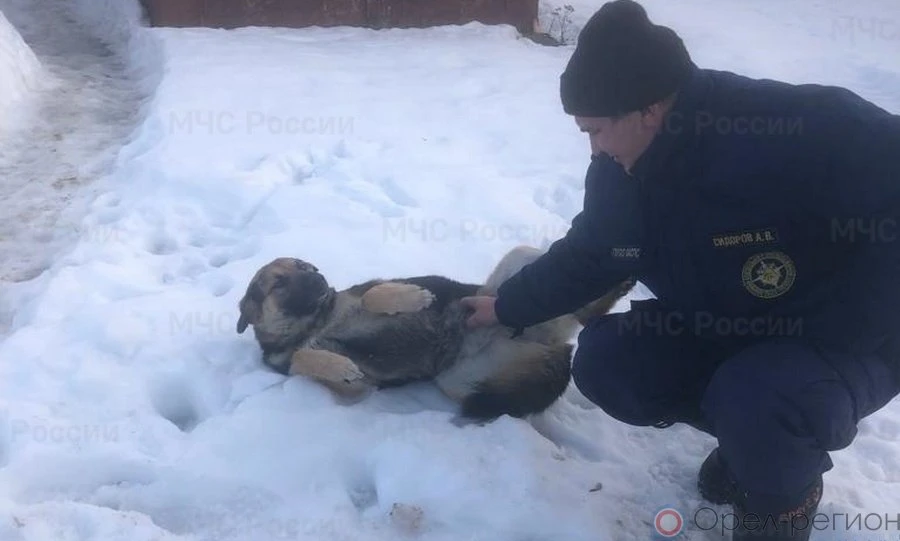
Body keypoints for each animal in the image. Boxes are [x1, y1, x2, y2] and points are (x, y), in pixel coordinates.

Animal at [236, 245, 635, 420]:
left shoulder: (365, 294)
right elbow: (306, 358)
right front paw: (336, 365)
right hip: (459, 382)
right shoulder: (356, 384)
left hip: (513, 272)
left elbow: (377, 294)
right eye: (279, 283)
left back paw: (621, 277)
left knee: (580, 298)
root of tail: (554, 346)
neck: (315, 322)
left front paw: (413, 297)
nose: (319, 278)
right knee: (585, 312)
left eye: (306, 267)